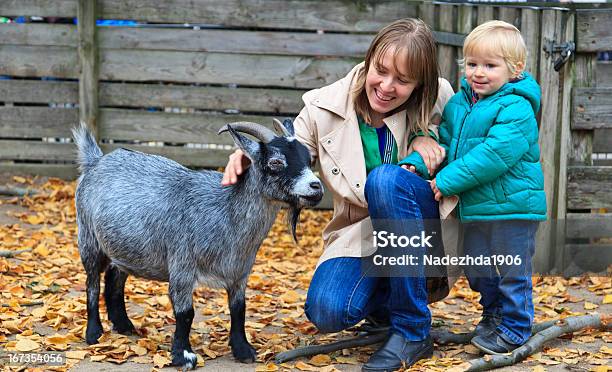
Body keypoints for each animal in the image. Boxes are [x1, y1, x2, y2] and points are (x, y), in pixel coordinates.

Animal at [73, 120, 326, 370]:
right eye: (275, 162)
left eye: (309, 159)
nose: (316, 186)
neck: (224, 211)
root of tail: (95, 161)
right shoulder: (181, 265)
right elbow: (186, 313)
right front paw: (183, 356)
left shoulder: (240, 271)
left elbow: (239, 308)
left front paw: (243, 350)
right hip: (88, 239)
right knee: (92, 284)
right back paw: (94, 333)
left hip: (125, 246)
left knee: (114, 280)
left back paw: (124, 325)